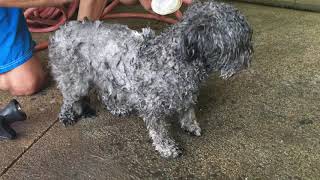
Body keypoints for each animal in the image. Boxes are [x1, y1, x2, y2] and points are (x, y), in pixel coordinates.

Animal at [48, 0, 252, 158]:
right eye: (240, 44)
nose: (248, 59)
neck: (175, 58)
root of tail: (62, 30)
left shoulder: (186, 94)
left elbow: (188, 112)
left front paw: (190, 126)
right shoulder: (152, 107)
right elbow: (159, 131)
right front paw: (167, 148)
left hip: (105, 75)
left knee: (104, 93)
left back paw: (116, 107)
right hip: (76, 80)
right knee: (70, 97)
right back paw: (67, 114)